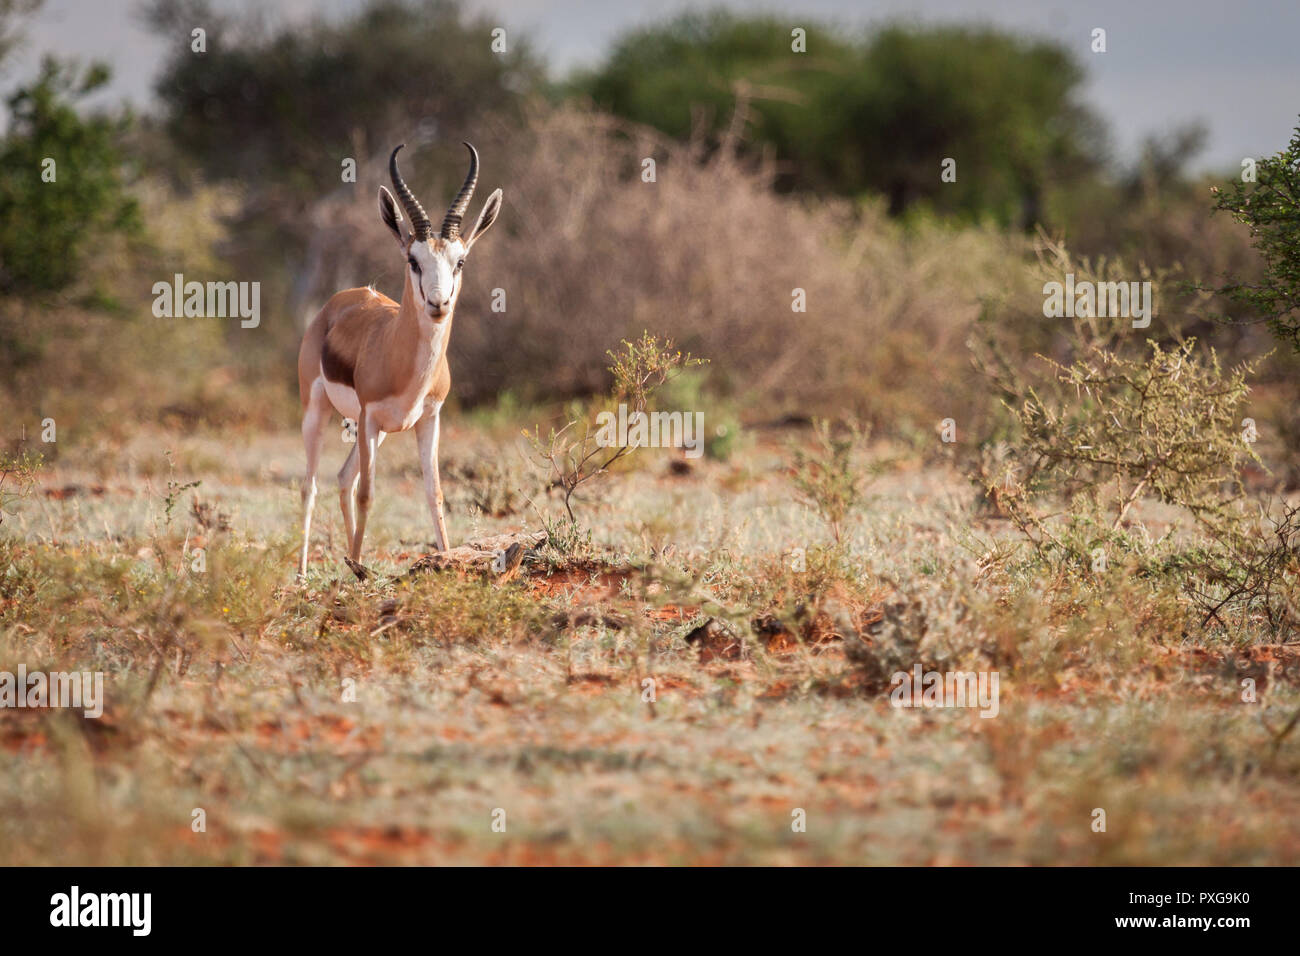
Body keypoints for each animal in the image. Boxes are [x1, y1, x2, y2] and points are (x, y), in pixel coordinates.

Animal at [296, 141, 501, 574]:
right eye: (413, 260)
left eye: (460, 261)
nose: (438, 303)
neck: (405, 364)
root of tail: (343, 299)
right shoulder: (370, 416)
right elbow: (368, 494)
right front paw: (358, 571)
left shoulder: (428, 419)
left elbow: (434, 493)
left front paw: (446, 560)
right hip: (319, 412)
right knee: (311, 485)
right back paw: (304, 574)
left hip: (376, 432)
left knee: (343, 477)